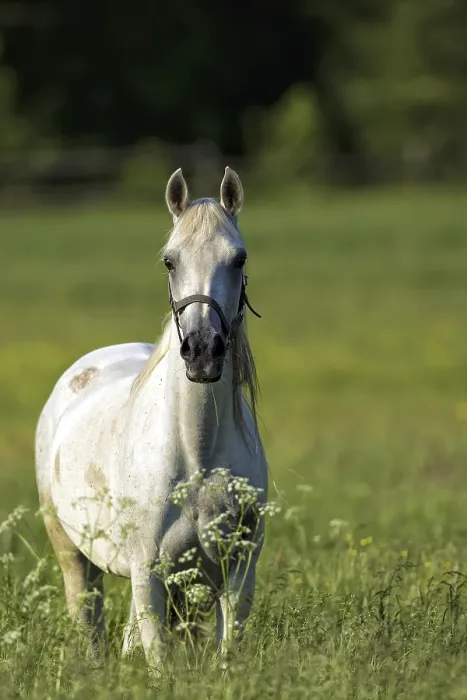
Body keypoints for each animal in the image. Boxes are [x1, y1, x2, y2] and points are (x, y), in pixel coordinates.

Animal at [35, 167, 269, 667]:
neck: (196, 453)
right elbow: (159, 660)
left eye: (238, 258)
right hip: (73, 556)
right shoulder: (149, 572)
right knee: (88, 619)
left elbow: (226, 652)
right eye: (169, 261)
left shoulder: (237, 572)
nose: (202, 351)